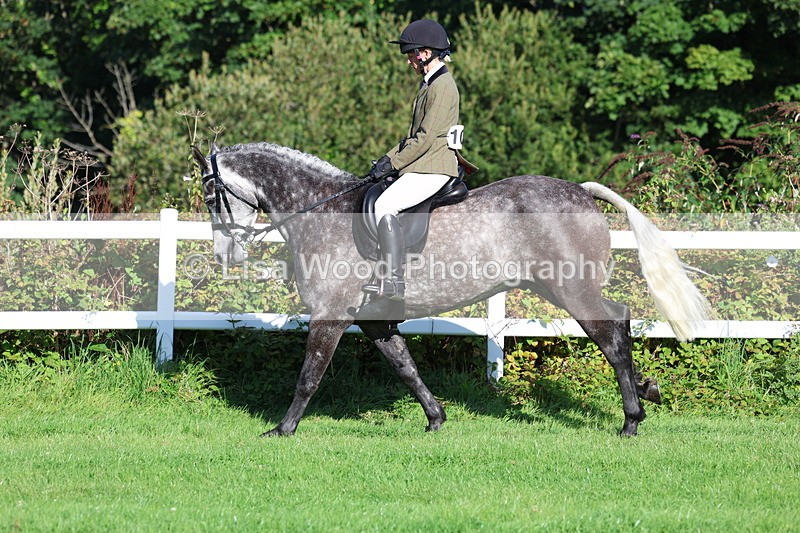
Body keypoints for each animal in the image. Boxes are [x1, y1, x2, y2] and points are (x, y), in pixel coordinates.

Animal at [191, 142, 710, 437]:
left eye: (212, 194)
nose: (226, 256)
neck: (322, 212)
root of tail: (582, 191)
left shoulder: (331, 314)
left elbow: (308, 376)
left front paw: (282, 429)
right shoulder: (373, 319)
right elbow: (406, 368)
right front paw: (436, 419)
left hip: (571, 290)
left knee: (611, 338)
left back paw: (631, 421)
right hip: (563, 288)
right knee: (619, 322)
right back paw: (646, 392)